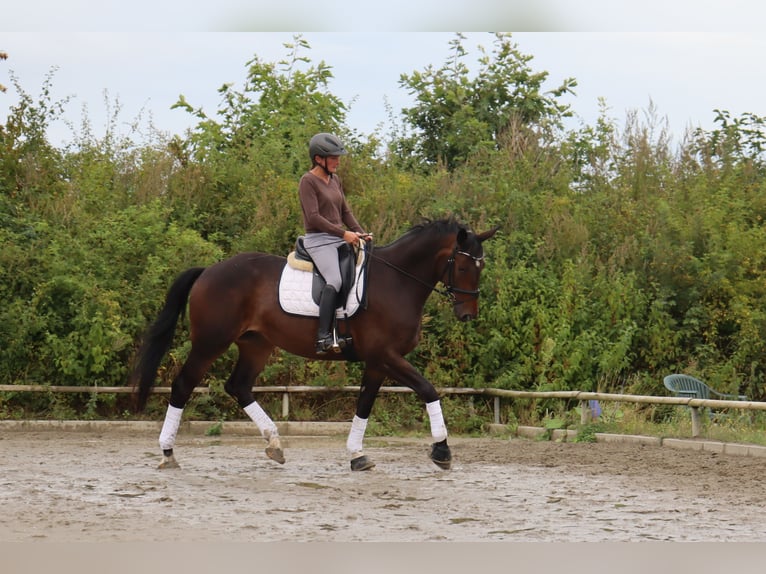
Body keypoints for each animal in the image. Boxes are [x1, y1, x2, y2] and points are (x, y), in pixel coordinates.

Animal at [131, 217, 498, 471]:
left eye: (481, 268)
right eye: (462, 265)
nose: (468, 314)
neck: (397, 282)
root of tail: (209, 270)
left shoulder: (377, 362)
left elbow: (364, 404)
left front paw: (357, 455)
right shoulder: (387, 356)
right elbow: (428, 389)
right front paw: (442, 451)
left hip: (256, 344)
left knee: (238, 386)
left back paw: (275, 445)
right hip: (211, 342)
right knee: (183, 385)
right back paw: (168, 453)